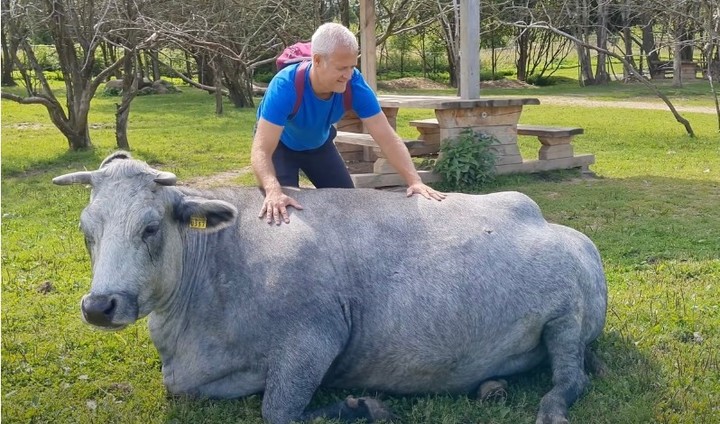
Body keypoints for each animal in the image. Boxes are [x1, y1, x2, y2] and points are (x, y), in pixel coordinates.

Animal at [53, 152, 607, 424]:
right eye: (86, 230)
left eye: (150, 227)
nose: (100, 305)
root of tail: (556, 224)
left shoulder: (315, 336)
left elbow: (278, 411)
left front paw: (363, 407)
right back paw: (491, 387)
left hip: (567, 319)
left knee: (571, 379)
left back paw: (550, 409)